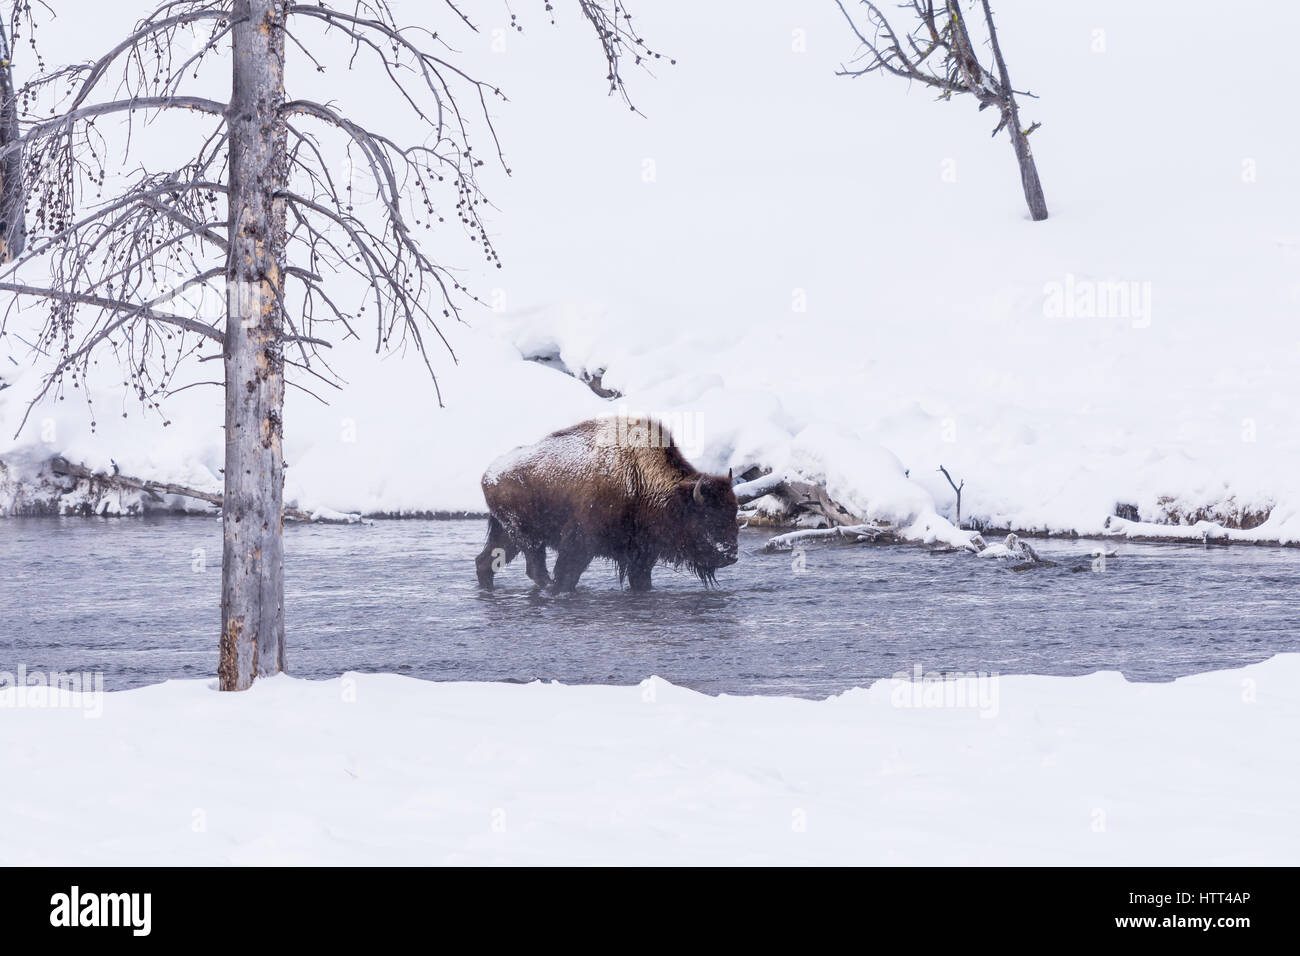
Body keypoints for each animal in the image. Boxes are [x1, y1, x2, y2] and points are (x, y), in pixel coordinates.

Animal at [478, 416, 743, 590]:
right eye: (706, 517)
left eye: (734, 514)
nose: (730, 555)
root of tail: (490, 472)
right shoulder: (580, 543)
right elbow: (567, 574)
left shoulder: (642, 555)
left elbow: (641, 581)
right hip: (526, 536)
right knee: (534, 568)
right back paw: (548, 588)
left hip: (508, 536)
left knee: (484, 562)